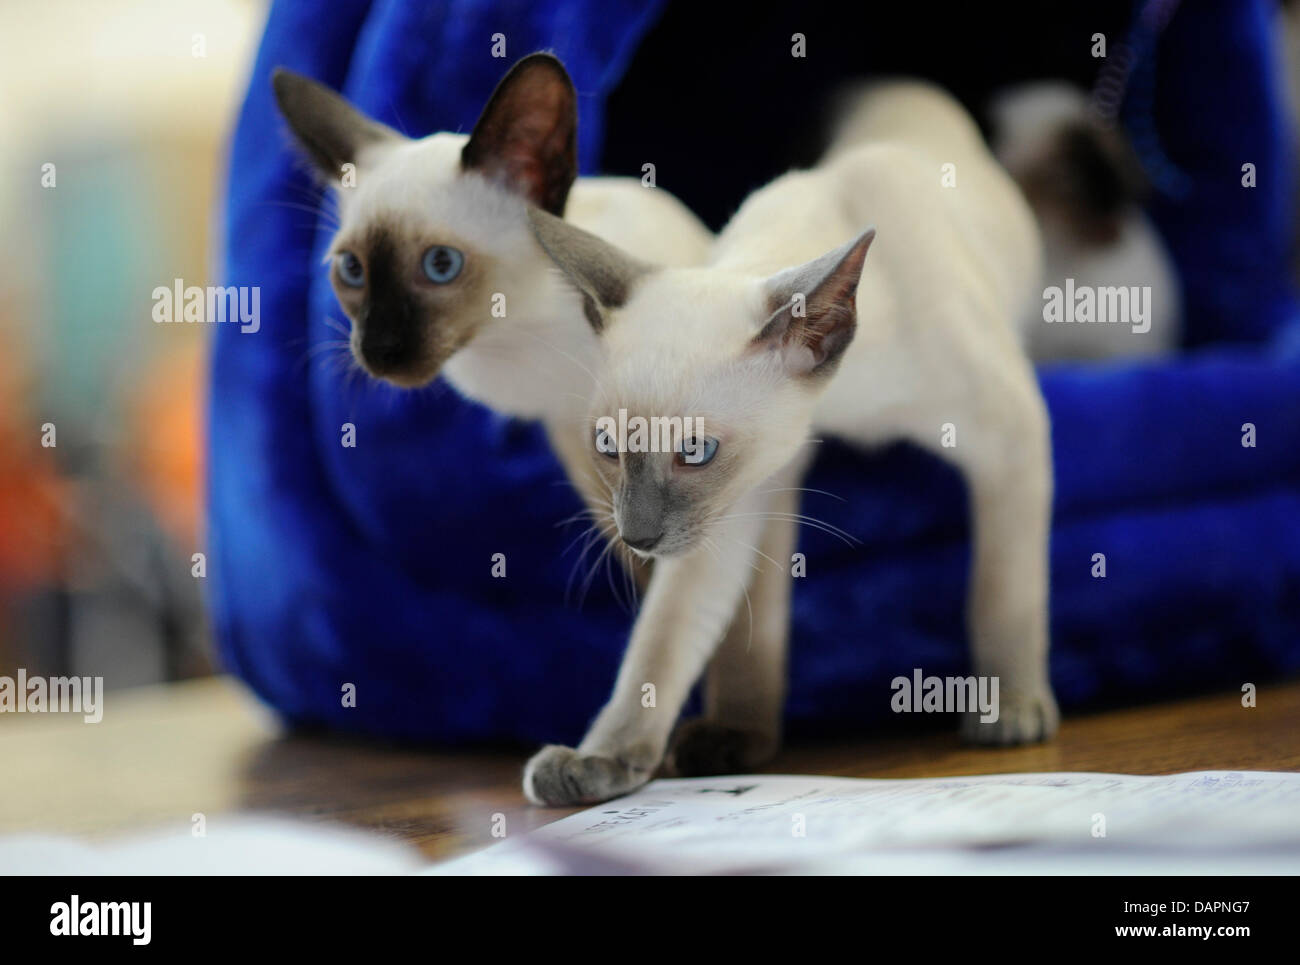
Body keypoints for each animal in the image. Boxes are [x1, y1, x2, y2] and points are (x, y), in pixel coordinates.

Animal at [525, 83, 1055, 806]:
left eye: (694, 451)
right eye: (607, 444)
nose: (637, 537)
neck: (845, 400)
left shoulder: (1009, 437)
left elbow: (1002, 595)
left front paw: (1011, 710)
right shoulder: (737, 500)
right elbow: (665, 644)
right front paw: (599, 761)